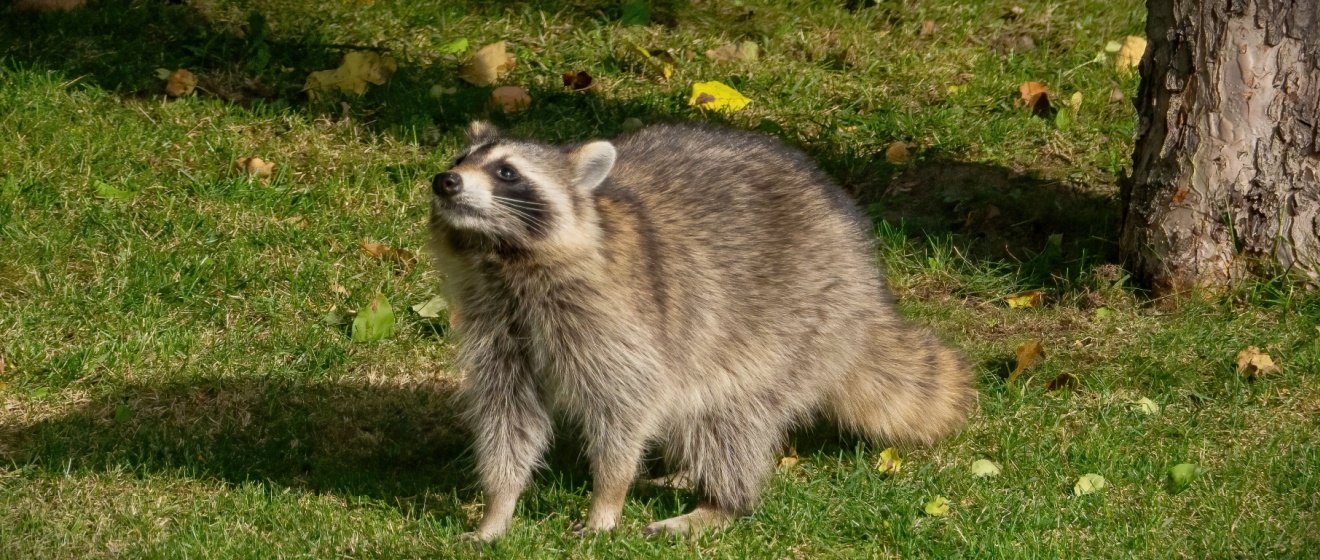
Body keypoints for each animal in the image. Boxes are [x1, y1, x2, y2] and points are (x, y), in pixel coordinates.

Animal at [427, 121, 974, 541]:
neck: (500, 257)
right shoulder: (496, 324)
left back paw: (720, 503)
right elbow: (507, 413)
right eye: (460, 157)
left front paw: (607, 497)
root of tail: (867, 292)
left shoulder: (615, 318)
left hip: (796, 324)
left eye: (507, 172)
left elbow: (627, 403)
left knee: (728, 417)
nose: (445, 181)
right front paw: (499, 506)